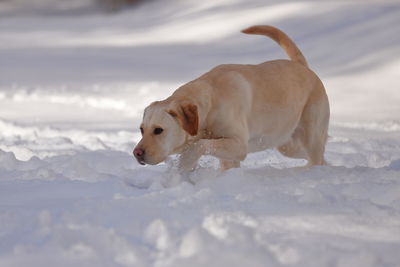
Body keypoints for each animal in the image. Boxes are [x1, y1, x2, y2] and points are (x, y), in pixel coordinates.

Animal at [133, 25, 330, 172]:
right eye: (142, 129)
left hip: (311, 136)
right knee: (319, 157)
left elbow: (200, 145)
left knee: (317, 157)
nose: (136, 153)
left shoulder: (239, 144)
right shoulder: (228, 155)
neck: (210, 105)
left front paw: (187, 161)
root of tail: (302, 66)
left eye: (158, 130)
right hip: (287, 144)